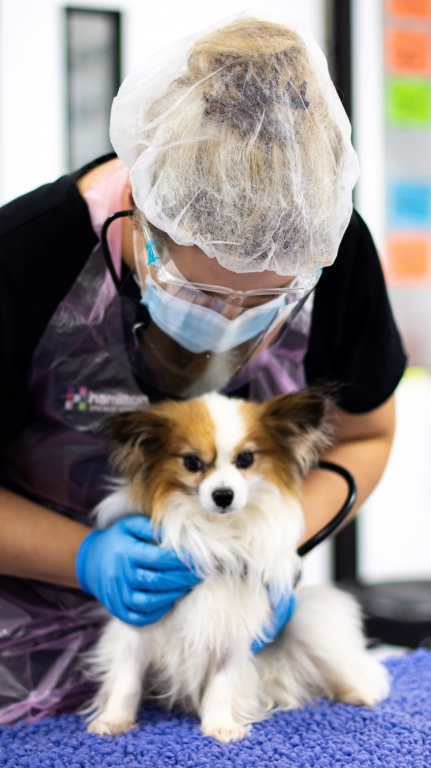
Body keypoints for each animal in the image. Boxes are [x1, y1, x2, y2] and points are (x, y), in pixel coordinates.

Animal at [85, 390, 389, 742]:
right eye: (192, 462)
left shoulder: (231, 625)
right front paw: (114, 719)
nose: (223, 495)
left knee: (351, 671)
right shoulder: (137, 621)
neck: (215, 532)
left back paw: (358, 694)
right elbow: (126, 678)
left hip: (312, 623)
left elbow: (222, 684)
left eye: (245, 459)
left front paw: (220, 725)